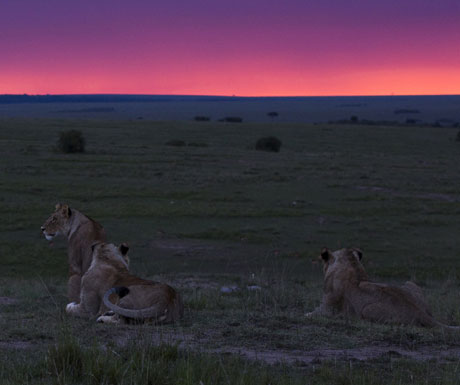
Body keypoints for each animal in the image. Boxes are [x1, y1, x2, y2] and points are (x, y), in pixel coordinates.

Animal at [308, 249, 458, 330]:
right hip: (410, 283)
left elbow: (310, 314)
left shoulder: (328, 308)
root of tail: (420, 312)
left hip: (366, 311)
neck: (351, 264)